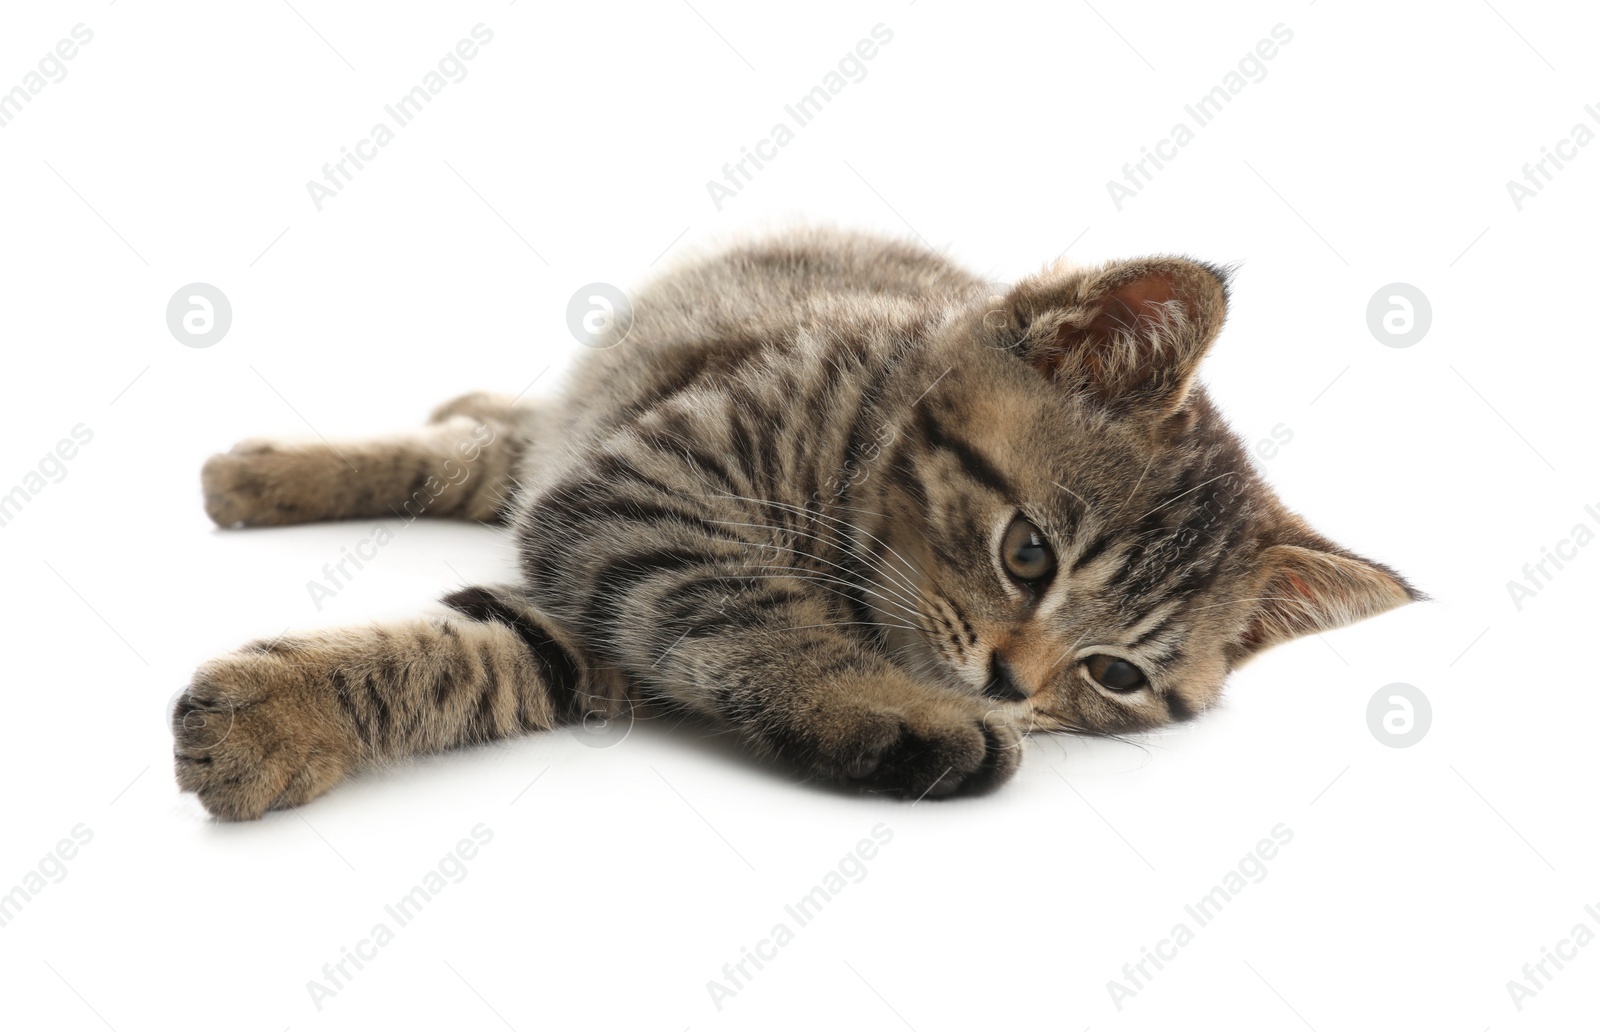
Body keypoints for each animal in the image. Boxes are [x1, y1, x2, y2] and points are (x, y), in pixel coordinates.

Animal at [181, 228, 1420, 816]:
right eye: (1027, 554)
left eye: (1114, 675)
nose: (1010, 685)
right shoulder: (645, 501)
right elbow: (761, 611)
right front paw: (896, 709)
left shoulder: (604, 607)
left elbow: (478, 656)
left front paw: (279, 719)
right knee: (482, 453)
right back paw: (267, 471)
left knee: (482, 459)